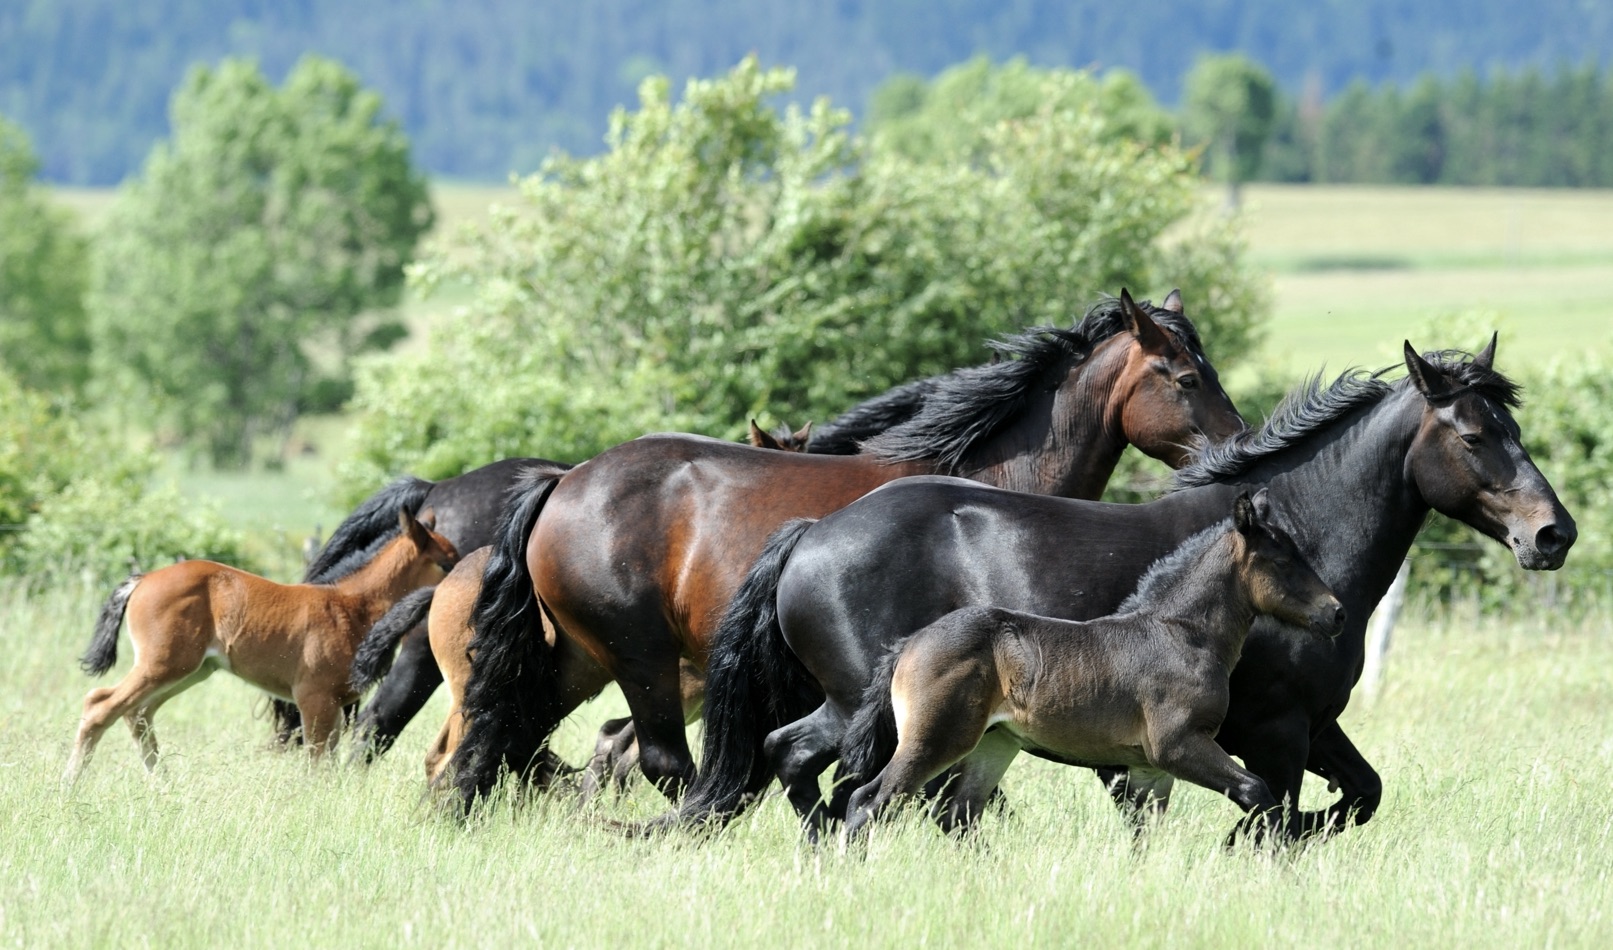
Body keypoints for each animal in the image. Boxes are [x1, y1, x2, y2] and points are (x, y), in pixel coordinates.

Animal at [62, 509, 454, 783]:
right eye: (445, 561)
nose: (462, 583)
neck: (351, 606)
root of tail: (143, 579)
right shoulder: (314, 697)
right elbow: (316, 763)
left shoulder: (337, 703)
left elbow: (327, 762)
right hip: (162, 665)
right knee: (101, 704)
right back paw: (70, 784)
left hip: (190, 671)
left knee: (137, 713)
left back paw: (163, 784)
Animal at [451, 288, 1245, 806]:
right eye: (1185, 377)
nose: (1237, 443)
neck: (986, 481)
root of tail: (565, 480)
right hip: (642, 662)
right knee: (658, 762)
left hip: (580, 659)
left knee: (505, 738)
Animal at [838, 493, 1342, 838]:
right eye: (1282, 561)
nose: (1336, 612)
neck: (1180, 635)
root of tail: (909, 643)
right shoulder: (1179, 746)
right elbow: (1259, 793)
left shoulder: (1151, 769)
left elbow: (1145, 833)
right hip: (933, 740)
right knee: (870, 800)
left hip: (993, 745)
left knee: (959, 815)